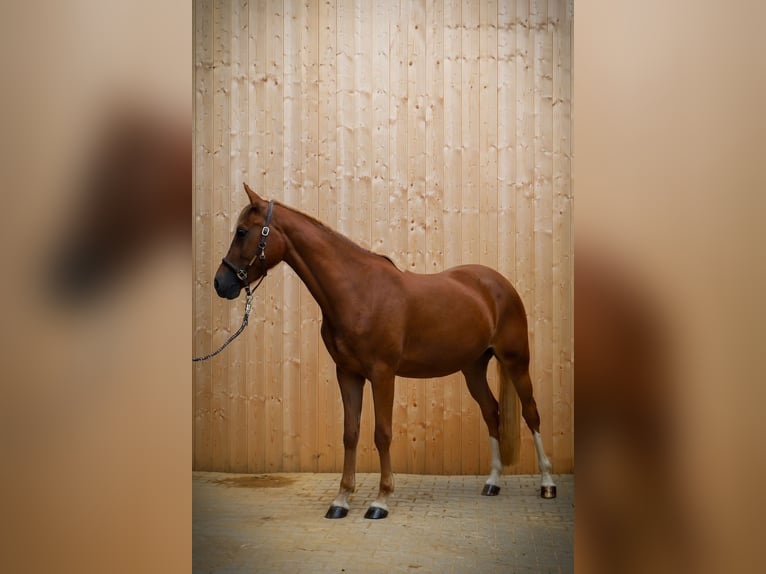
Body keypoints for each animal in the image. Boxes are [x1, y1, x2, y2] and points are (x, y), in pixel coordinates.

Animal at [212, 182, 556, 519]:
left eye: (242, 231)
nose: (220, 283)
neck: (357, 291)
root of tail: (498, 285)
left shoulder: (382, 373)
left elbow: (382, 433)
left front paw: (380, 501)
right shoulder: (348, 373)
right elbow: (350, 433)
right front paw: (341, 499)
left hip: (516, 361)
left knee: (531, 412)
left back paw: (547, 484)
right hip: (473, 367)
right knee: (491, 411)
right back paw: (493, 482)